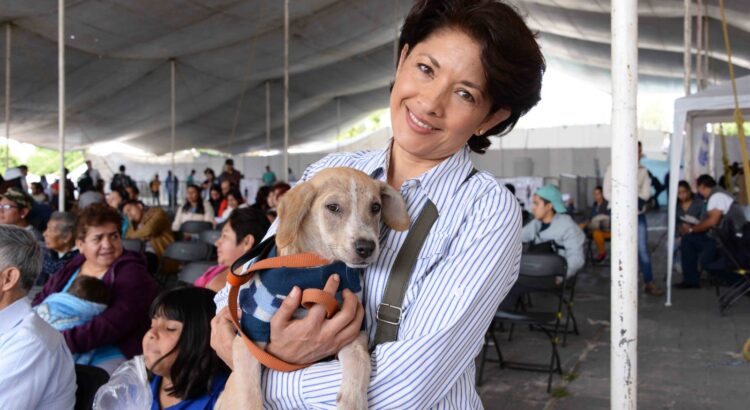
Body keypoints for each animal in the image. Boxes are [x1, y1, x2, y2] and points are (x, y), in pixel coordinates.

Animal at [217, 167, 412, 410]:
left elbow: (360, 363)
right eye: (333, 207)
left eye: (375, 207)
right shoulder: (249, 338)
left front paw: (353, 401)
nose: (366, 247)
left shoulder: (353, 332)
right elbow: (249, 397)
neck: (315, 266)